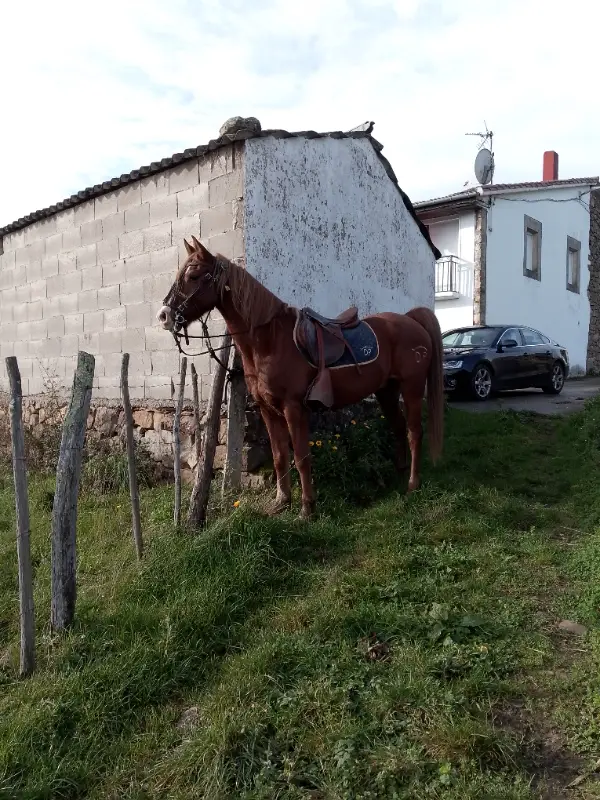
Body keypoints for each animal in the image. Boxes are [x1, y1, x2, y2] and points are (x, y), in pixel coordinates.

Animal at [158, 236, 444, 519]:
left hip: (412, 388)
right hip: (387, 391)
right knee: (398, 427)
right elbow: (279, 457)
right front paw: (281, 501)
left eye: (194, 275)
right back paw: (399, 475)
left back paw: (412, 484)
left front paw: (307, 508)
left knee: (414, 432)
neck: (270, 340)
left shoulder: (293, 408)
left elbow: (301, 457)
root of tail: (410, 320)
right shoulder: (267, 410)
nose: (164, 316)